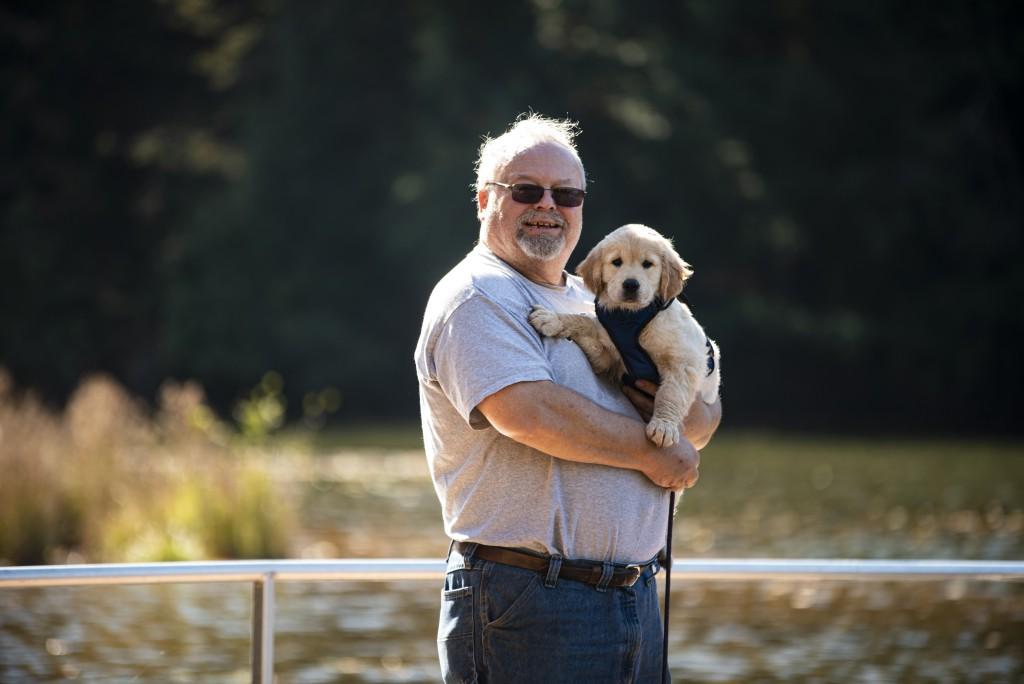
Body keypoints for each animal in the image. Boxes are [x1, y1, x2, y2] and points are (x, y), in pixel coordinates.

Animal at [528, 224, 720, 448]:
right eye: (617, 262)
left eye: (648, 264)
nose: (630, 285)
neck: (631, 317)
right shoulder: (609, 360)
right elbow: (585, 322)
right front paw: (552, 319)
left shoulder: (683, 361)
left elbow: (671, 393)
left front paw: (664, 425)